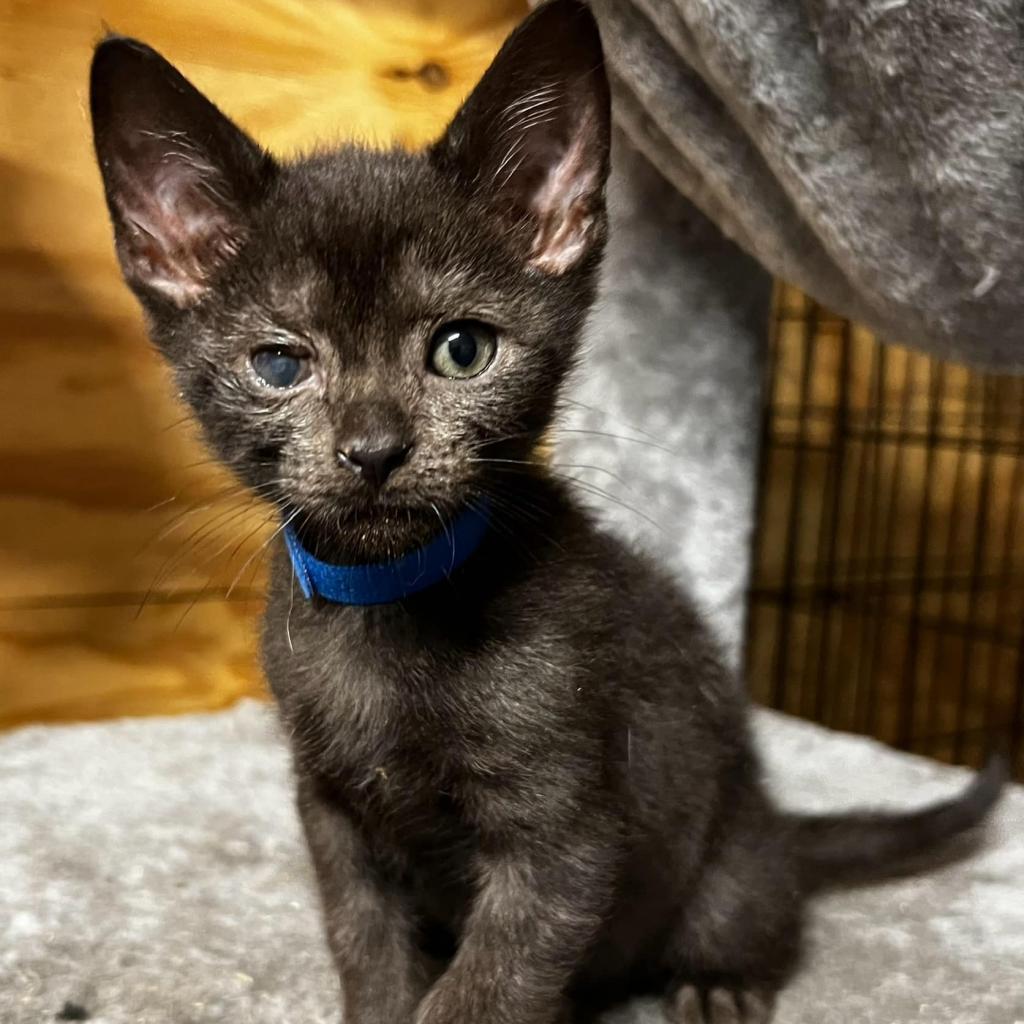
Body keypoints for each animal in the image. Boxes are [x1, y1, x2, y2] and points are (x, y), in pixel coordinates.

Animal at [92, 4, 1003, 1019]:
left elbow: (490, 984)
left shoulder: (563, 831)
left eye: (462, 348)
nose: (374, 450)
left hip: (729, 855)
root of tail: (773, 817)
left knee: (755, 912)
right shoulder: (330, 812)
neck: (393, 611)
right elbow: (366, 947)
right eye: (281, 363)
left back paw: (718, 983)